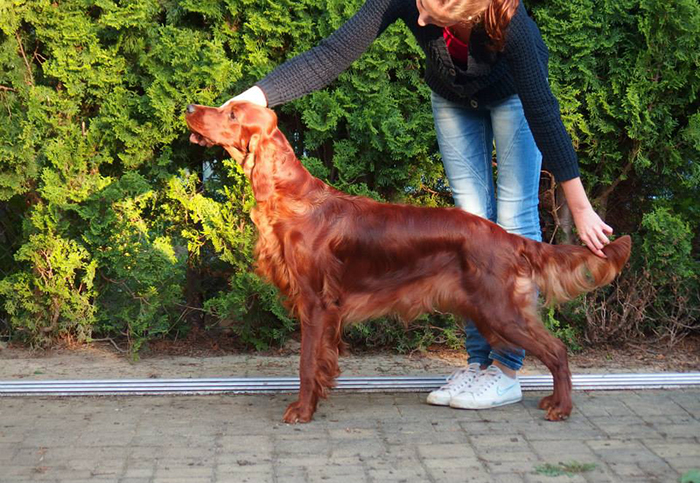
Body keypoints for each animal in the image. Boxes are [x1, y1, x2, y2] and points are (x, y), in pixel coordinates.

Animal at [185, 101, 628, 424]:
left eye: (232, 114)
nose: (189, 107)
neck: (295, 198)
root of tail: (505, 237)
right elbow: (322, 361)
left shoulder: (315, 303)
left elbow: (306, 363)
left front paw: (302, 410)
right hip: (487, 309)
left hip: (500, 310)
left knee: (557, 350)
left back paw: (561, 406)